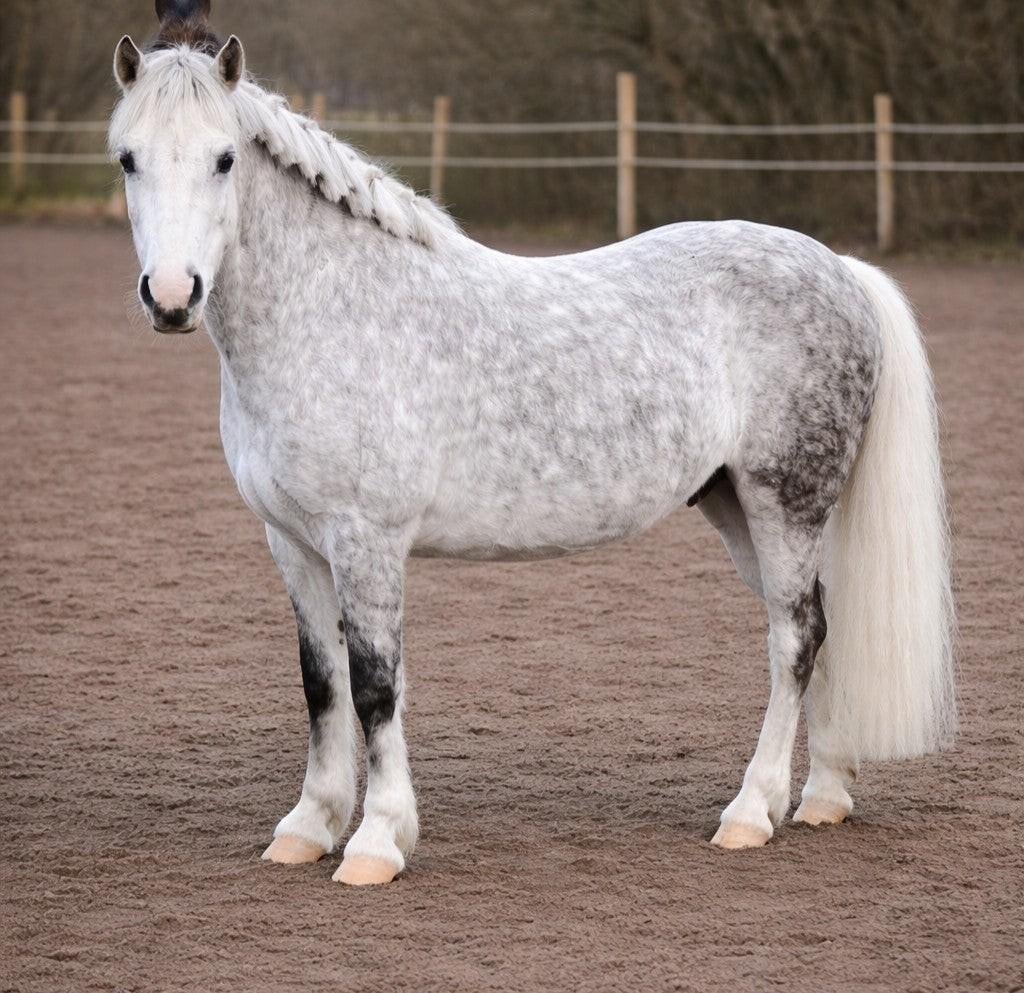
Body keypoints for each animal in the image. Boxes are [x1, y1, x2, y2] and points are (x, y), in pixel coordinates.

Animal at [108, 0, 955, 886]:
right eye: (128, 158)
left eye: (225, 158)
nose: (172, 296)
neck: (332, 308)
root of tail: (842, 270)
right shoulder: (294, 541)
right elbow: (323, 684)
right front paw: (309, 825)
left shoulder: (368, 541)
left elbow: (376, 685)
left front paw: (377, 840)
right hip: (737, 506)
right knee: (820, 626)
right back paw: (824, 794)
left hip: (784, 502)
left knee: (794, 637)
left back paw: (751, 812)